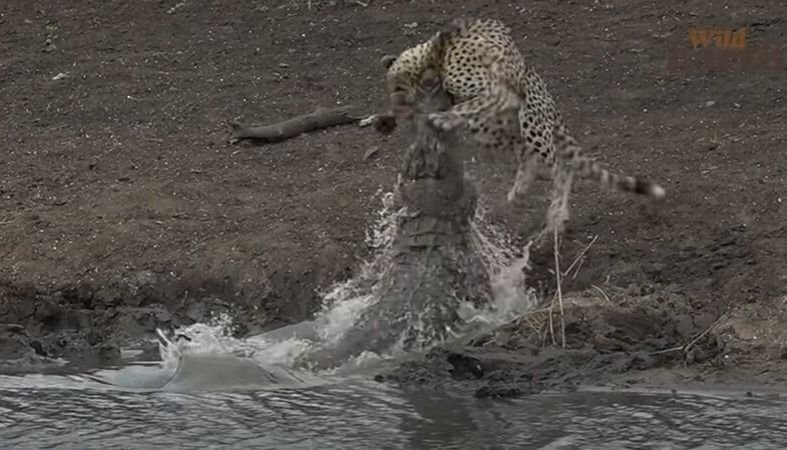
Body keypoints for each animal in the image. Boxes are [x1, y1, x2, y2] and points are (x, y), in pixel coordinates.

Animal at [382, 18, 664, 239]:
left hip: (529, 119)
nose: (394, 114)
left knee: (562, 168)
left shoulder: (497, 91)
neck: (436, 54)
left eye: (397, 88)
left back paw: (556, 215)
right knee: (528, 156)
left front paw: (443, 118)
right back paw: (521, 191)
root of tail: (553, 107)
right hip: (492, 127)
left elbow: (470, 103)